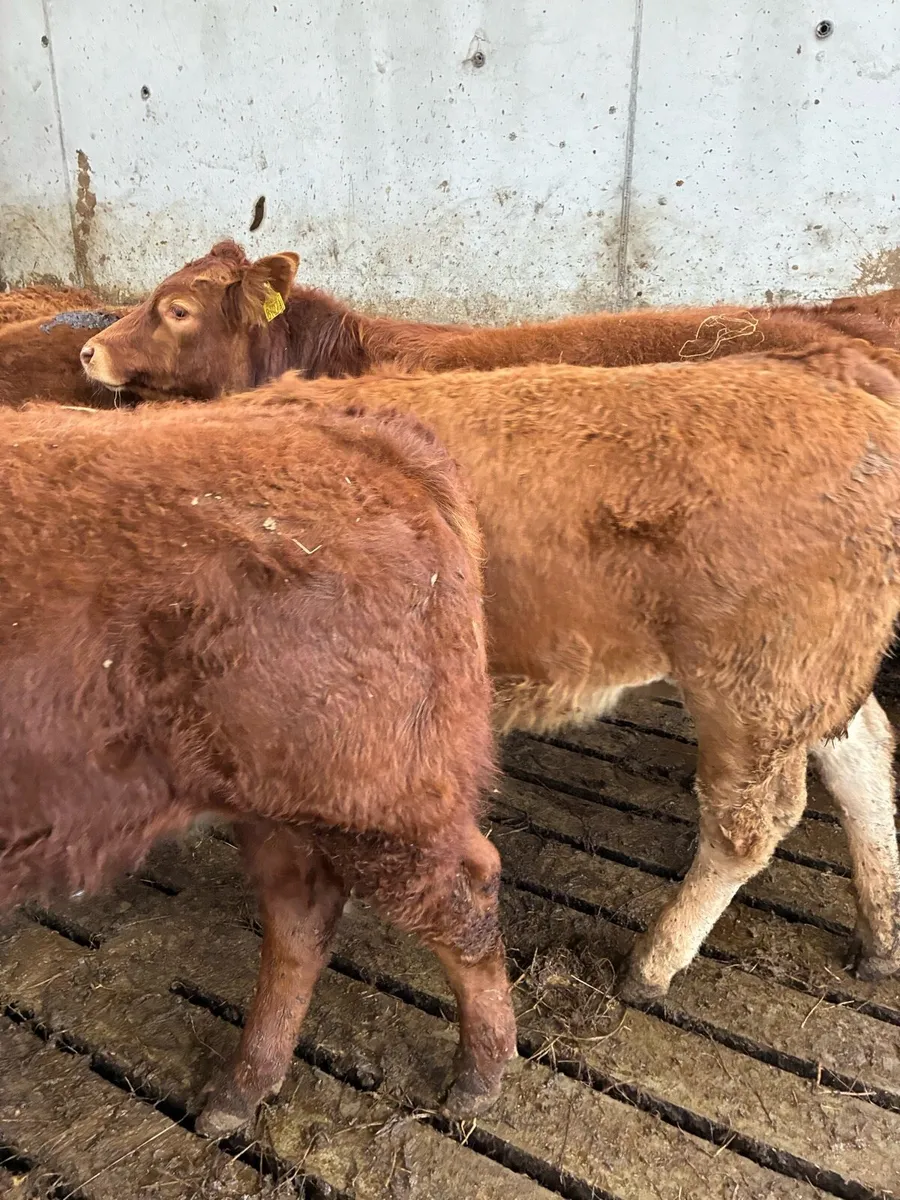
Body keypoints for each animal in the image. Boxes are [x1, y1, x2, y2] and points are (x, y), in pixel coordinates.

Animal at [0, 396, 515, 1137]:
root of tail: (363, 433)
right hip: (277, 807)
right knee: (303, 921)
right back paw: (241, 1088)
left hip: (380, 811)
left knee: (464, 901)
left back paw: (479, 1077)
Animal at [209, 345, 900, 1004]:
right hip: (814, 675)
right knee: (863, 755)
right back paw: (881, 938)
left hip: (756, 687)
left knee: (749, 826)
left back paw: (653, 963)